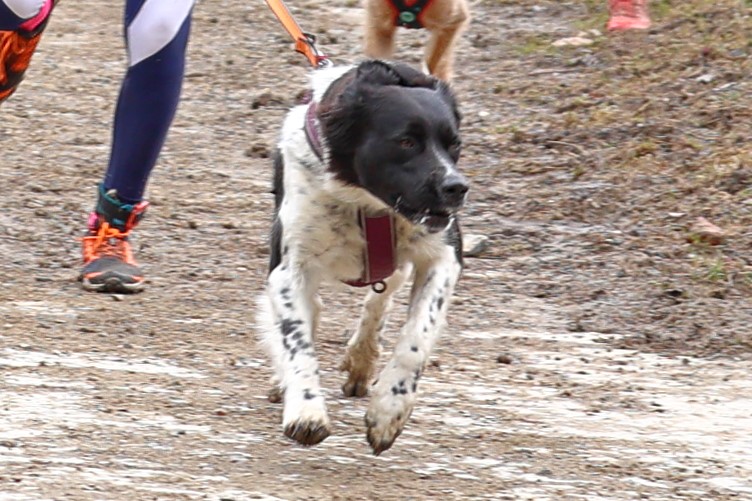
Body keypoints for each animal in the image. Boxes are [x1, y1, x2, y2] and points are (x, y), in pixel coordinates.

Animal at [257, 60, 468, 455]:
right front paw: (306, 410)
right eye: (406, 141)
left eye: (455, 144)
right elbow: (297, 341)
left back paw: (362, 360)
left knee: (381, 296)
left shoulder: (444, 255)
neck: (367, 203)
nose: (457, 188)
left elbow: (416, 338)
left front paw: (389, 410)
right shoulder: (288, 270)